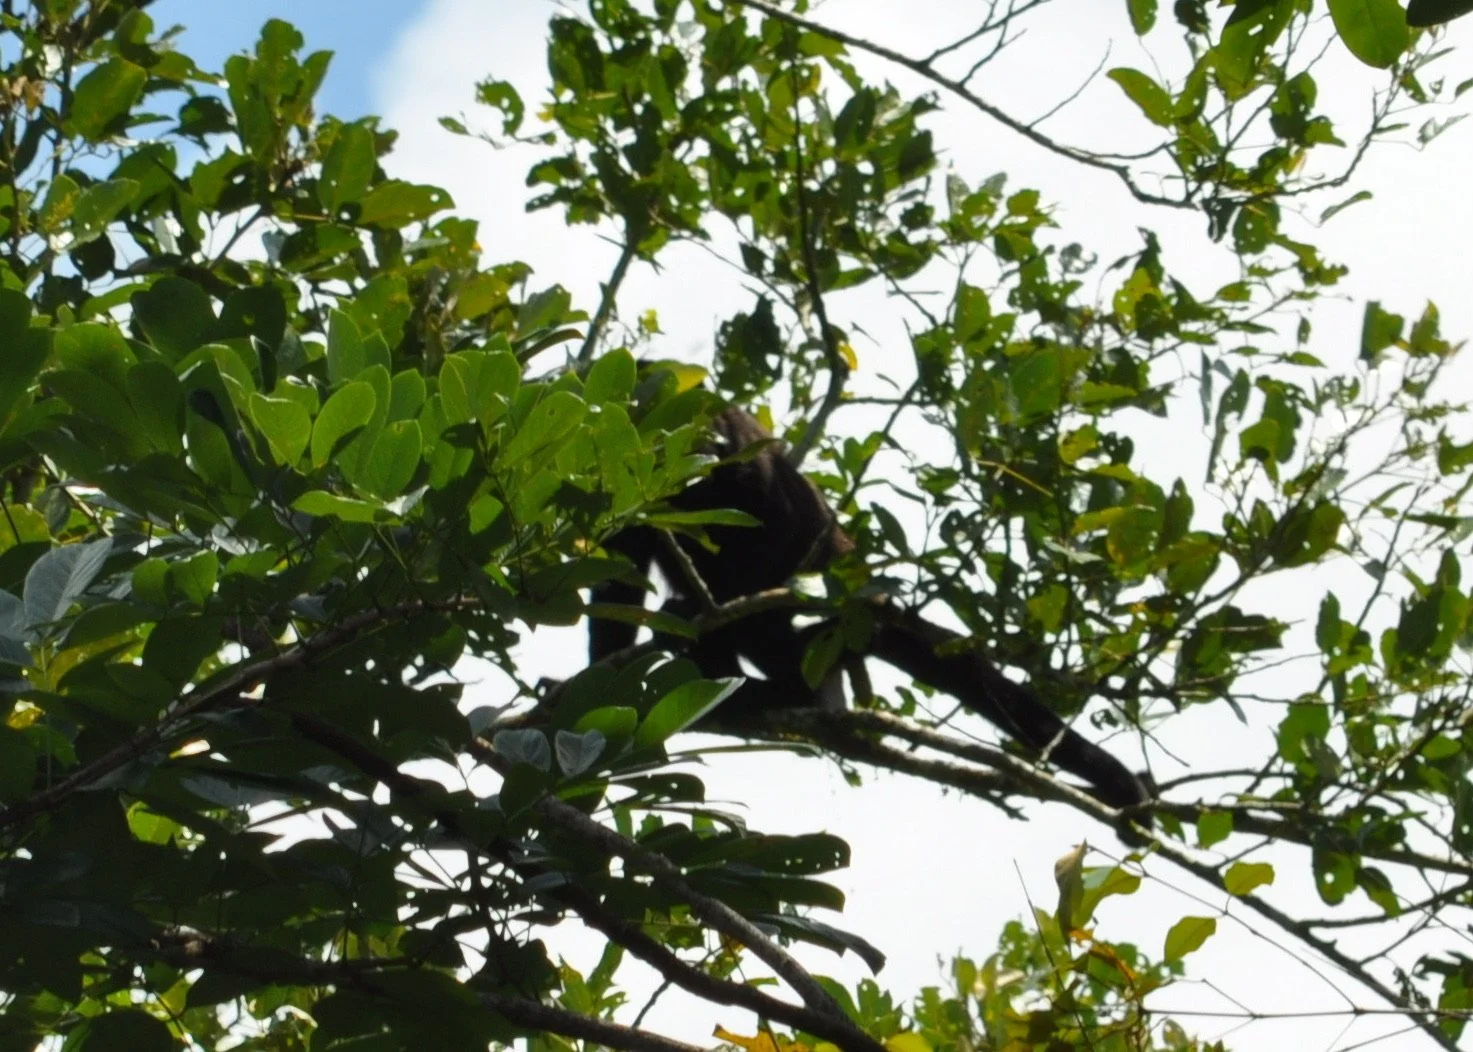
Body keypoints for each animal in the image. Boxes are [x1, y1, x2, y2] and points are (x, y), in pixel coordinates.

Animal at [587, 380, 1153, 815]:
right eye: (671, 434)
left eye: (709, 433)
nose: (705, 448)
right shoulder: (632, 475)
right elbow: (619, 567)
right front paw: (603, 689)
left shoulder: (751, 467)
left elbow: (775, 538)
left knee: (765, 616)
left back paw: (767, 684)